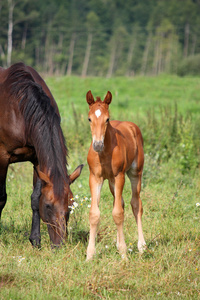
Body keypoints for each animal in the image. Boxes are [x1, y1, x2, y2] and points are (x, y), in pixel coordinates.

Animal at [0, 62, 83, 246]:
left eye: (70, 206)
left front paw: (35, 240)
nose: (59, 245)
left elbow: (35, 198)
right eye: (48, 206)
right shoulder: (2, 157)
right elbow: (1, 197)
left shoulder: (38, 160)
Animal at [85, 89, 145, 260]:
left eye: (107, 119)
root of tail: (131, 126)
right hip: (111, 182)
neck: (104, 152)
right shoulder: (95, 178)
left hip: (135, 173)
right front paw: (89, 255)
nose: (97, 144)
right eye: (89, 118)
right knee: (121, 203)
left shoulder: (119, 176)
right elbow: (94, 214)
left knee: (136, 204)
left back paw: (141, 246)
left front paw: (124, 254)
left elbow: (118, 214)